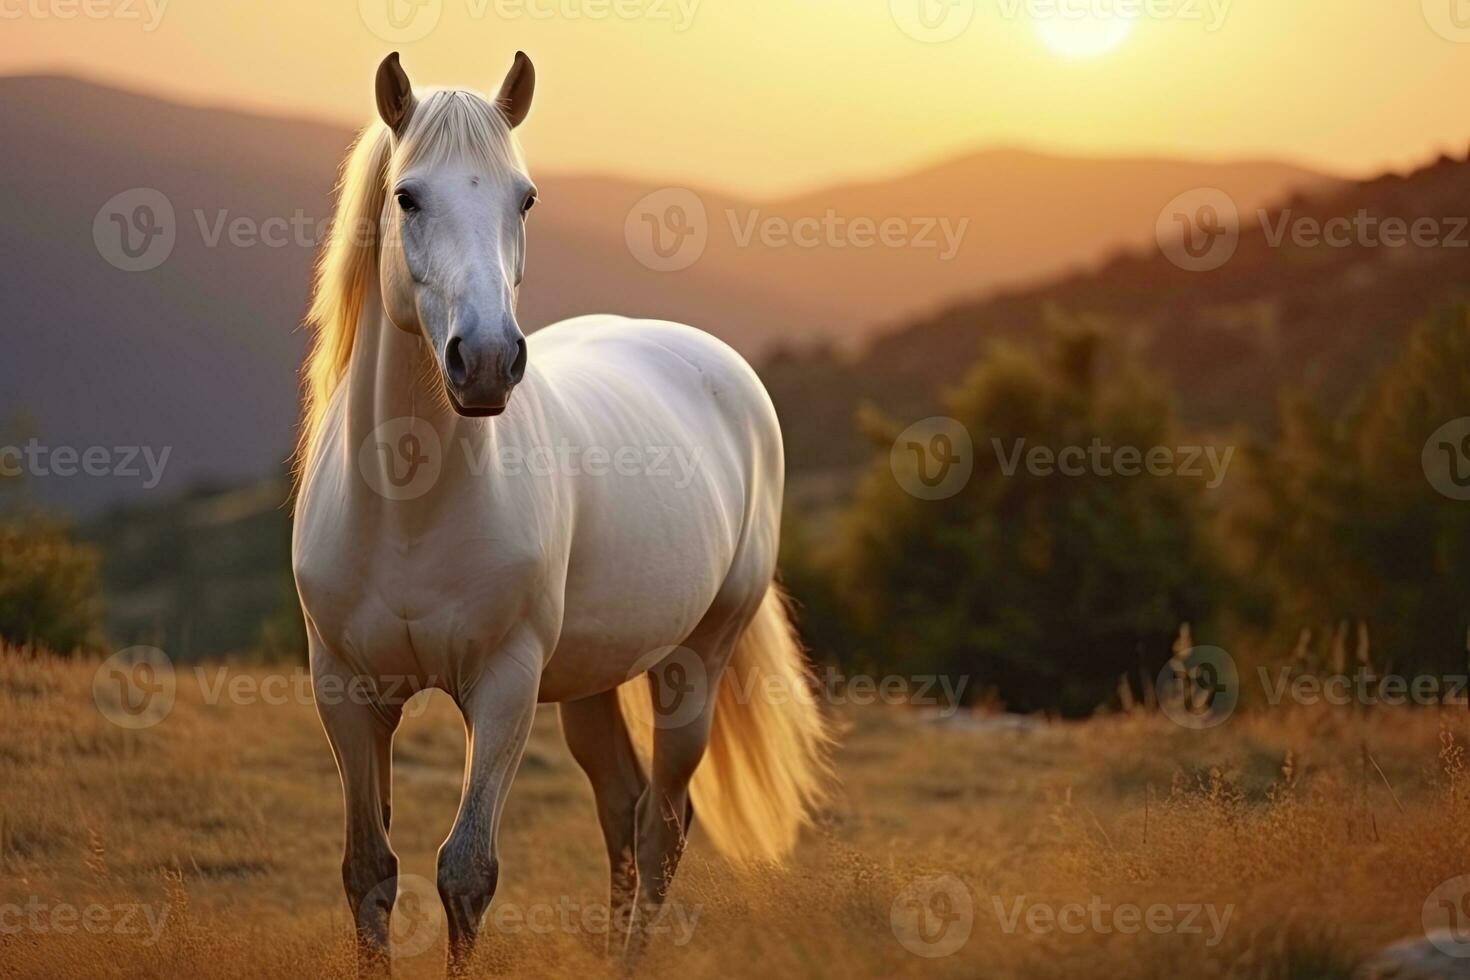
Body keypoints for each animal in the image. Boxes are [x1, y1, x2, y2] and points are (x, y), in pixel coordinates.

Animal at [292, 53, 834, 975]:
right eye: (408, 196)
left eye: (526, 198)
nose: (484, 362)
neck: (406, 511)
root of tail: (718, 364)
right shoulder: (346, 692)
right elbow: (369, 871)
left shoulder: (505, 686)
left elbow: (466, 873)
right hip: (590, 678)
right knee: (621, 810)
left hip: (695, 662)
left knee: (660, 829)